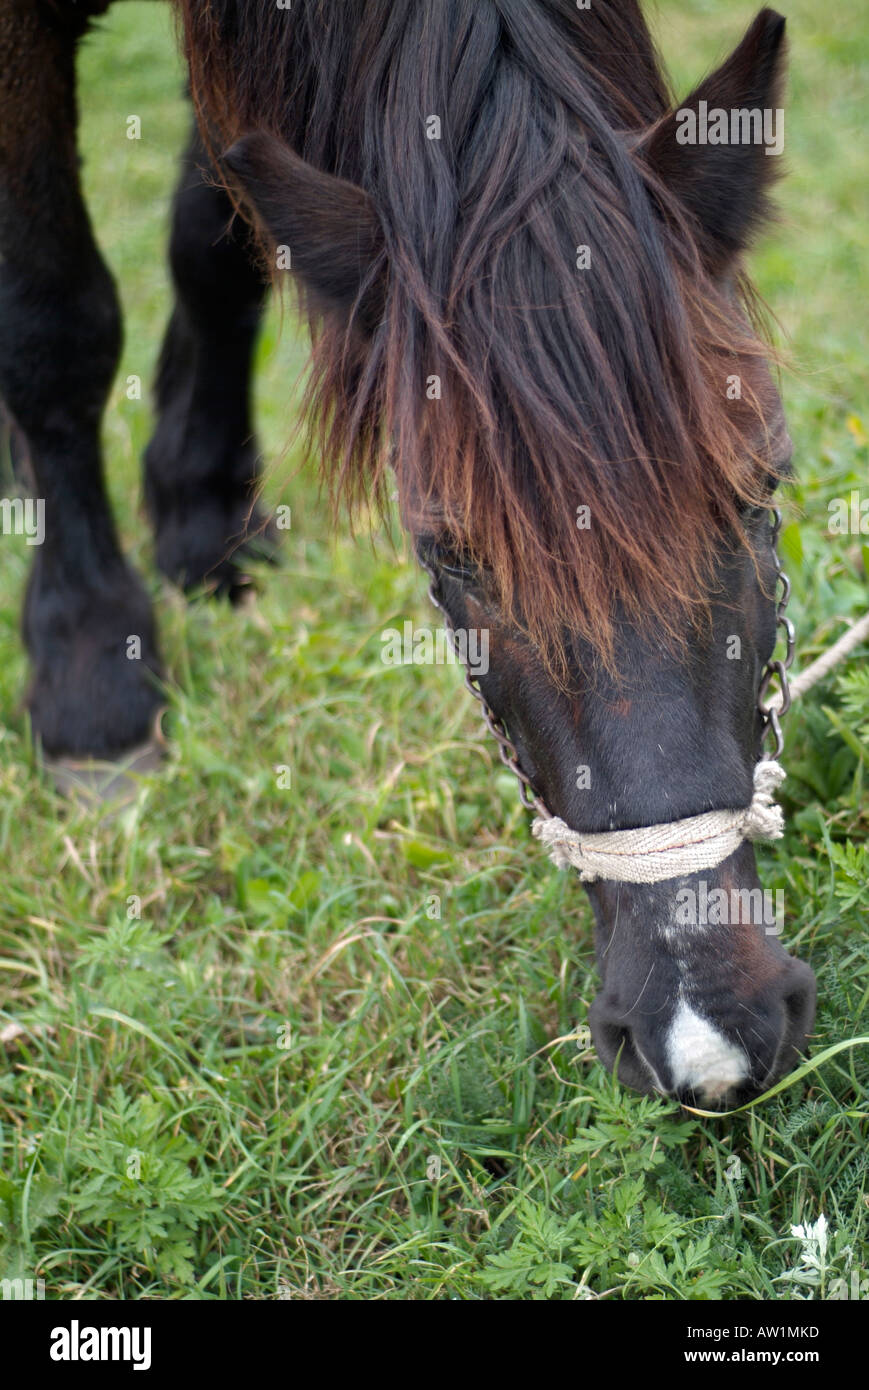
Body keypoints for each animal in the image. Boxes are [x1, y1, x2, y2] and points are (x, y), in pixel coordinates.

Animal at [0, 0, 817, 1108]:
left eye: (760, 484)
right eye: (446, 554)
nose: (708, 1033)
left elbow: (219, 233)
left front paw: (201, 513)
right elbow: (52, 321)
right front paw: (93, 674)